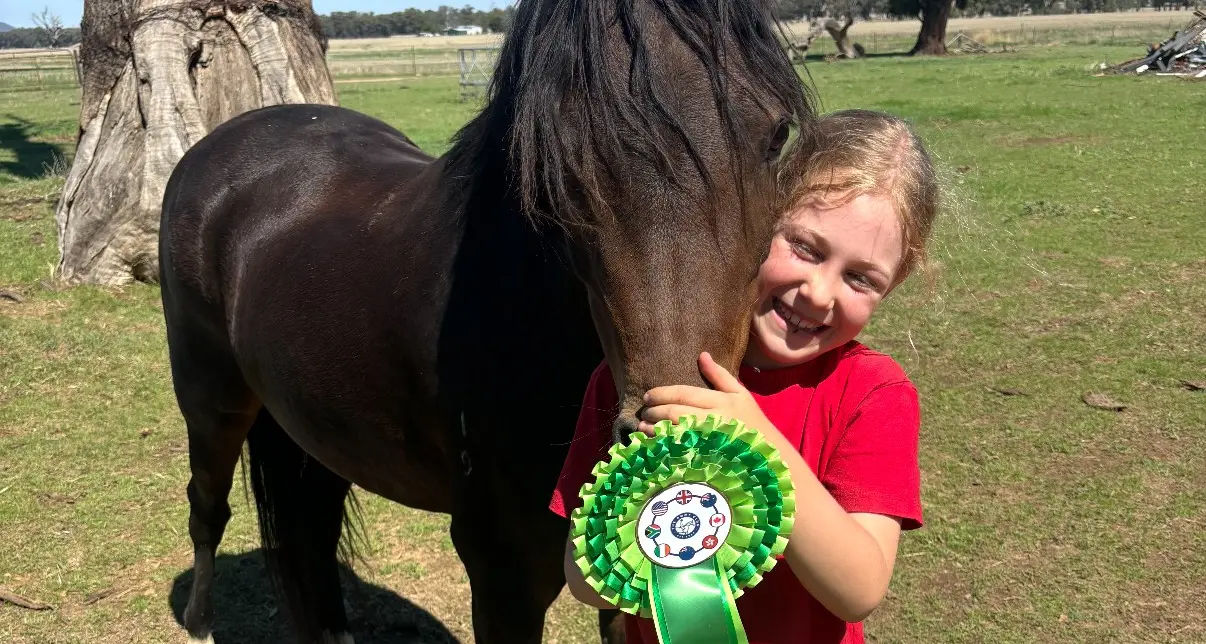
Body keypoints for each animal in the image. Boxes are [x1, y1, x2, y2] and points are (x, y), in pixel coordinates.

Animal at [159, 1, 813, 642]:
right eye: (558, 160)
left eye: (778, 134)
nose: (678, 435)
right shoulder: (502, 572)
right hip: (212, 402)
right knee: (208, 506)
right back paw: (199, 622)